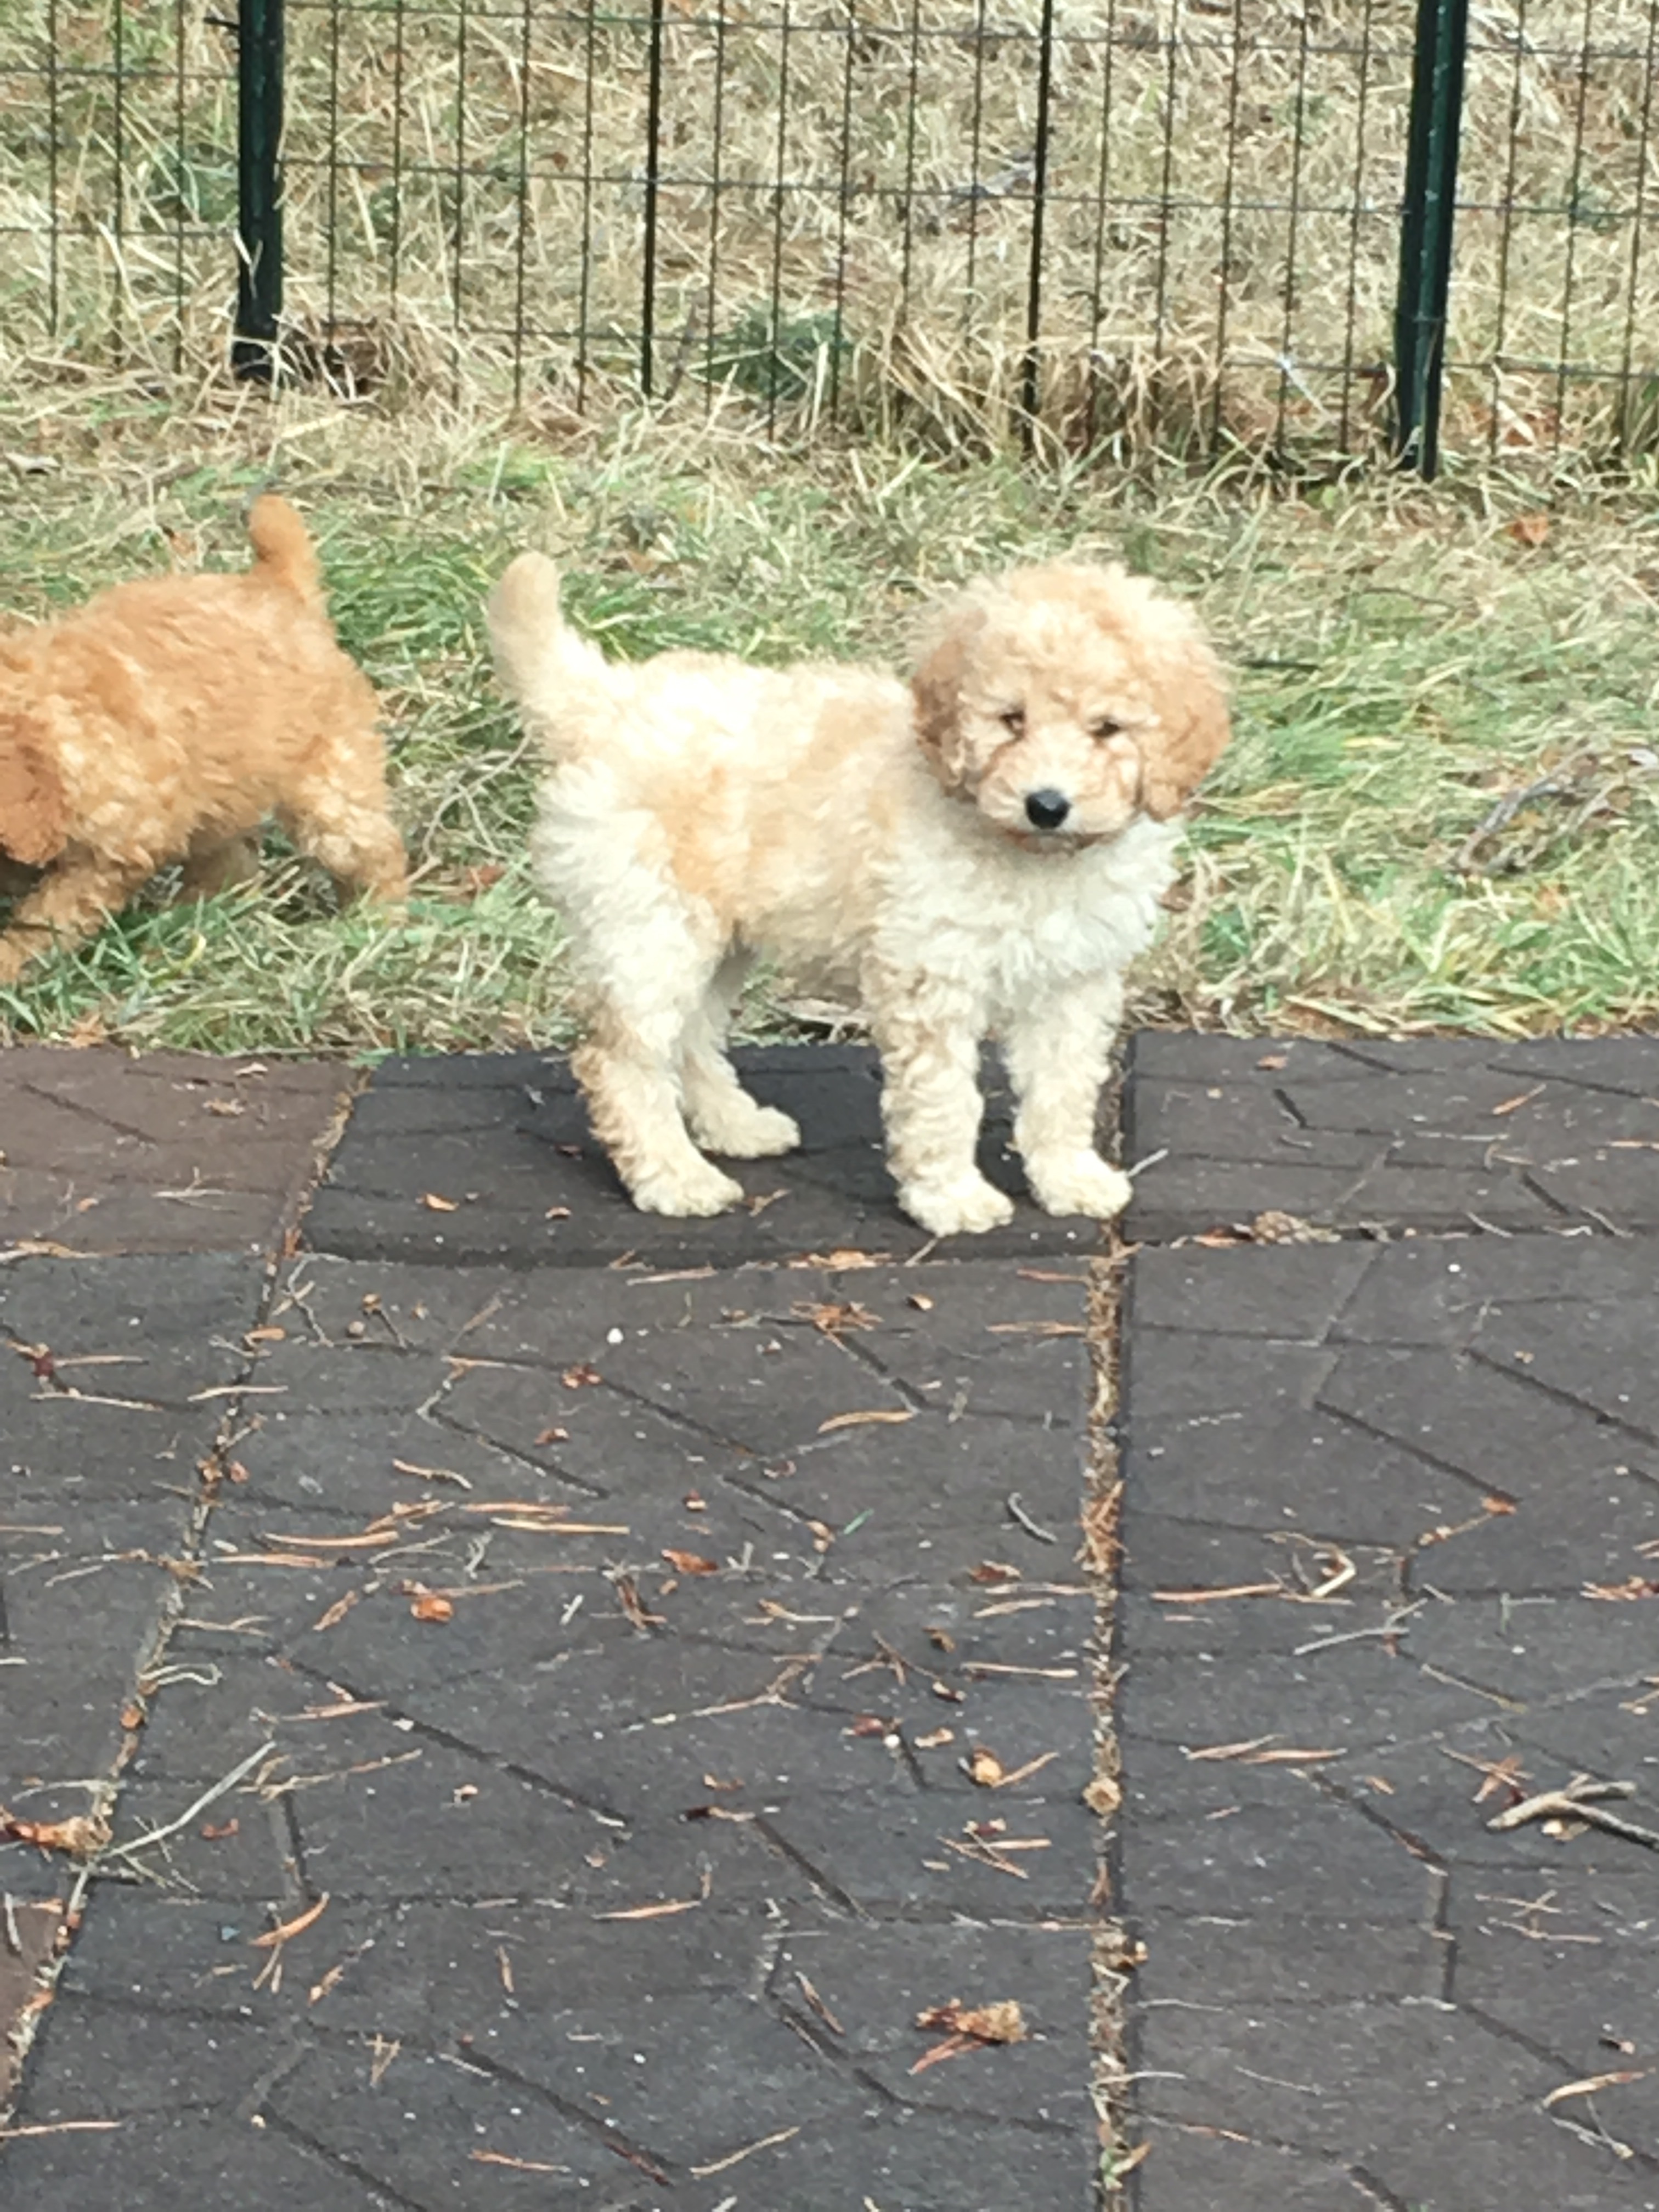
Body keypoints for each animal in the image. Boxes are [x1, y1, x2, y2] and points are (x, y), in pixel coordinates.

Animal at [0, 496, 407, 983]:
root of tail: (279, 589)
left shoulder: (112, 849)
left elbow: (47, 916)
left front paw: (10, 962)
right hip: (223, 799)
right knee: (232, 864)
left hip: (328, 784)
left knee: (372, 851)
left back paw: (376, 924)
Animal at [489, 555, 1228, 1236]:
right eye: (1010, 720)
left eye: (1107, 729)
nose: (1047, 804)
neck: (1033, 859)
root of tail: (609, 702)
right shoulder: (931, 977)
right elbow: (943, 1100)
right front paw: (952, 1198)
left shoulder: (1074, 983)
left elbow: (1063, 1089)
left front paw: (1070, 1178)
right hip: (652, 924)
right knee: (622, 1059)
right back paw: (676, 1177)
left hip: (714, 937)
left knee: (691, 1035)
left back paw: (736, 1127)